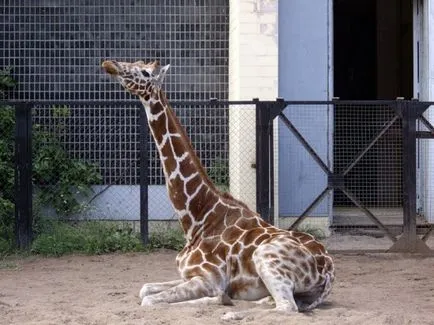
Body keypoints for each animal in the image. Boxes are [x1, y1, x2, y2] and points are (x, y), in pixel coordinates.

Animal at [101, 58, 336, 318]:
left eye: (144, 72)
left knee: (287, 308)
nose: (109, 63)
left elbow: (150, 300)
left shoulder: (209, 278)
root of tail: (328, 268)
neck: (197, 217)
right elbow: (144, 289)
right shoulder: (188, 275)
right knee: (275, 303)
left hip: (266, 258)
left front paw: (220, 300)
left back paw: (231, 311)